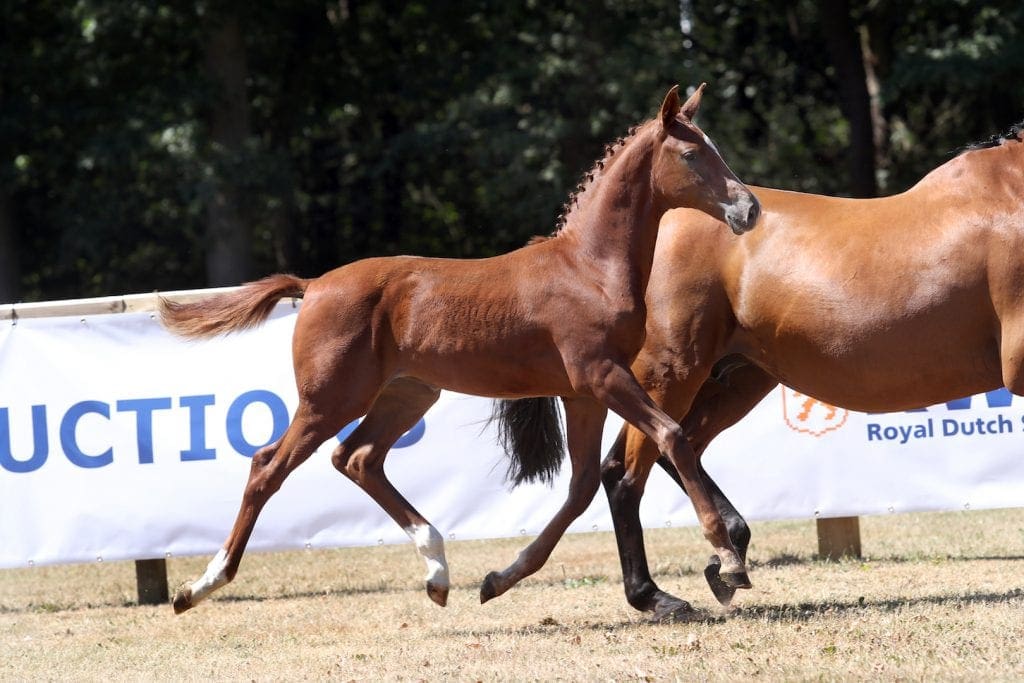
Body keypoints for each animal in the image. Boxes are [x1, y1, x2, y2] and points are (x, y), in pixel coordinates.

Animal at [158, 84, 761, 615]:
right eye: (691, 153)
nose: (749, 208)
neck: (588, 266)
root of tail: (313, 285)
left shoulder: (582, 393)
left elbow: (582, 487)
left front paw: (498, 579)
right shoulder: (602, 376)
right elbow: (672, 435)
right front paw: (727, 559)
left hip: (406, 395)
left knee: (358, 458)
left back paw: (438, 572)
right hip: (330, 399)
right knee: (268, 467)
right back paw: (200, 586)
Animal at [586, 122, 1024, 620]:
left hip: (733, 380)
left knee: (673, 449)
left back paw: (727, 557)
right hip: (672, 374)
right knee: (627, 473)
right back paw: (656, 594)